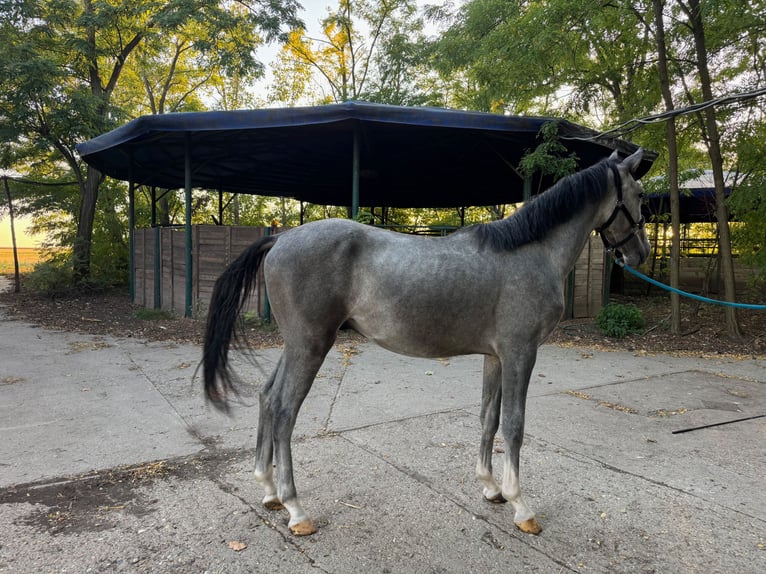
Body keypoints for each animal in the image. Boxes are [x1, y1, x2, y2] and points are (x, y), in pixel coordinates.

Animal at [203, 148, 650, 536]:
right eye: (641, 195)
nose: (642, 253)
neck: (530, 252)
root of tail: (279, 240)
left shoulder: (496, 357)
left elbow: (489, 418)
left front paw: (491, 488)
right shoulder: (521, 353)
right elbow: (514, 425)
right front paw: (522, 506)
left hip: (295, 345)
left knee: (266, 396)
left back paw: (268, 490)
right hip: (310, 346)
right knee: (283, 410)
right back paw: (296, 509)